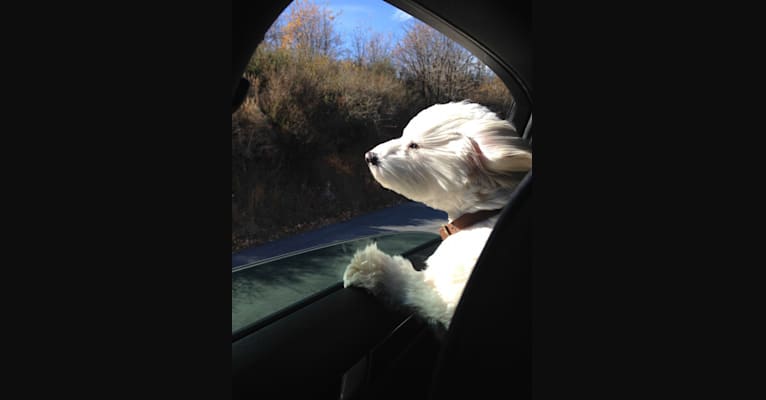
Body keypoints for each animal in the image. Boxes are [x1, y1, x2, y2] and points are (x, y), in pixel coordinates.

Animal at [344, 100, 532, 328]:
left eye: (414, 145)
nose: (370, 156)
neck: (477, 215)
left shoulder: (447, 301)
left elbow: (410, 286)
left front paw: (371, 266)